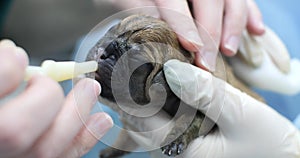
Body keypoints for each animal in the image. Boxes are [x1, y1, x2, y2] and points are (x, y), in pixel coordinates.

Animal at [85, 14, 262, 157]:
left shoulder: (207, 113)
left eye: (135, 58)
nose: (105, 51)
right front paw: (113, 149)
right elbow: (125, 137)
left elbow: (189, 122)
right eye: (112, 31)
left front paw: (175, 141)